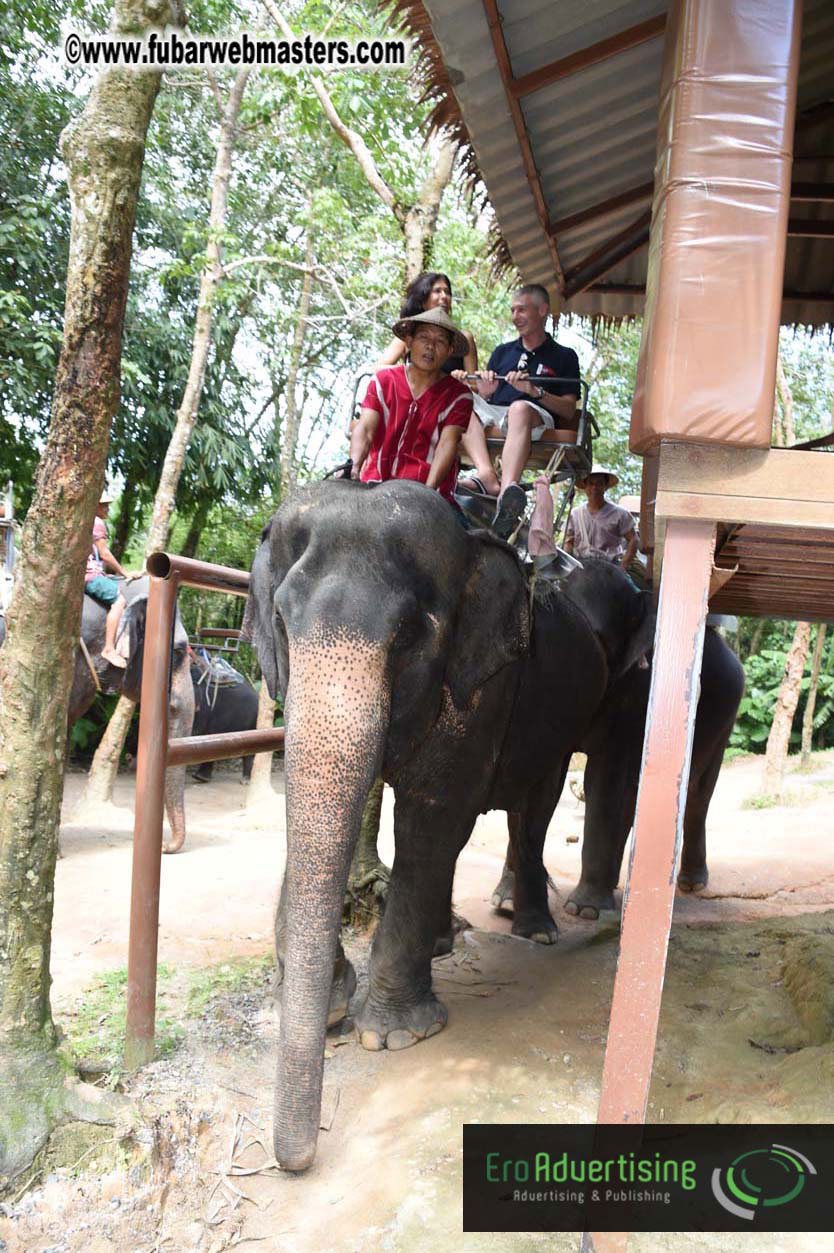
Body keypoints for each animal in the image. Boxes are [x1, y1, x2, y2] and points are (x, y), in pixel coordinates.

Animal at [243, 478, 657, 1171]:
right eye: (279, 621)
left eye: (410, 636)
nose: (295, 1163)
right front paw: (329, 1006)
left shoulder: (486, 678)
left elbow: (433, 815)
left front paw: (390, 1035)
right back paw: (444, 941)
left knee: (533, 807)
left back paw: (537, 929)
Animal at [490, 624, 745, 935]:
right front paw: (505, 904)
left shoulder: (633, 699)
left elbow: (606, 780)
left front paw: (584, 911)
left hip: (725, 723)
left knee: (698, 795)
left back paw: (690, 884)